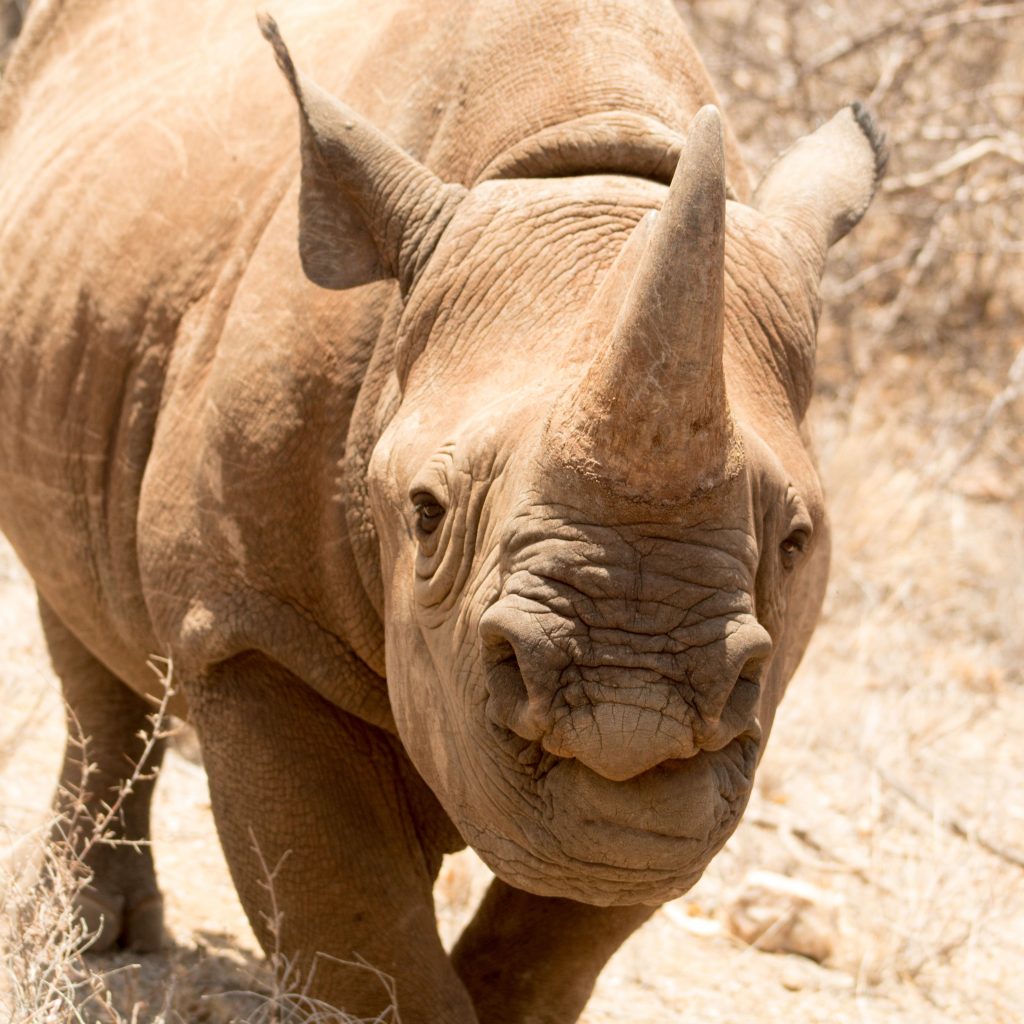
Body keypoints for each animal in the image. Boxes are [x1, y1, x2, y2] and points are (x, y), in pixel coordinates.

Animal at [0, 0, 884, 1019]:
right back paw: (98, 943)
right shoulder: (258, 627)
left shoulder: (704, 760)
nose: (629, 715)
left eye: (797, 540)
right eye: (426, 513)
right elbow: (359, 933)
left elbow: (554, 938)